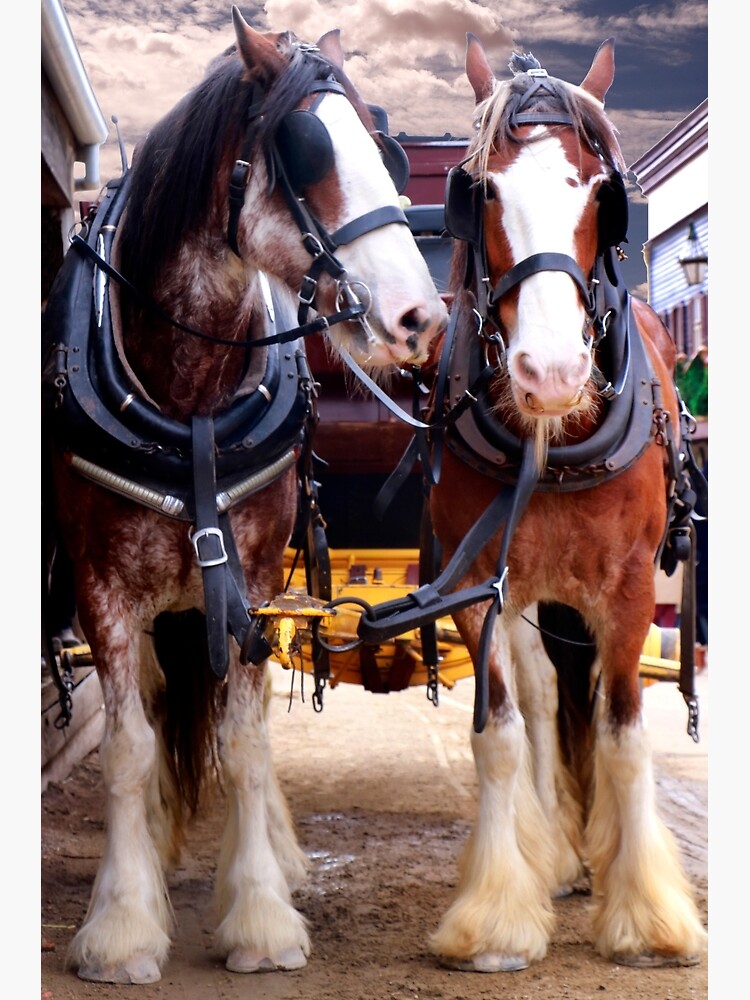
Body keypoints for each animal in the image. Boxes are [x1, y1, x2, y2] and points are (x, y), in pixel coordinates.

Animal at [41, 7, 446, 984]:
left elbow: (249, 744)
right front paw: (121, 923)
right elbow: (129, 748)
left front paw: (260, 915)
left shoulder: (256, 585)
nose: (423, 317)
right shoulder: (106, 592)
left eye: (381, 143)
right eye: (307, 149)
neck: (186, 398)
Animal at [360, 33, 707, 971]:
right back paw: (553, 851)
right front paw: (496, 917)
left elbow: (624, 734)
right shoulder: (478, 583)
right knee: (548, 696)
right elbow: (505, 733)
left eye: (600, 190)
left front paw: (647, 917)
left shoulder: (629, 587)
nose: (549, 372)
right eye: (481, 189)